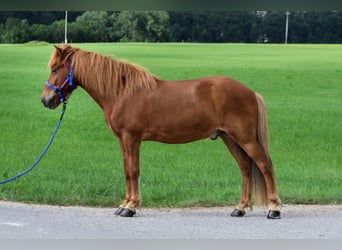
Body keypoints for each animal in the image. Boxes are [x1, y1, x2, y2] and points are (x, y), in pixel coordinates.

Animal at [40, 45, 280, 219]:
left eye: (55, 68)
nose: (46, 100)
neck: (122, 92)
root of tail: (251, 92)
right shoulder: (123, 140)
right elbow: (127, 171)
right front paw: (124, 204)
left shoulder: (132, 138)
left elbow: (133, 171)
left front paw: (130, 207)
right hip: (229, 138)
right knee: (245, 168)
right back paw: (240, 208)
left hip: (245, 138)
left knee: (265, 165)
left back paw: (274, 209)